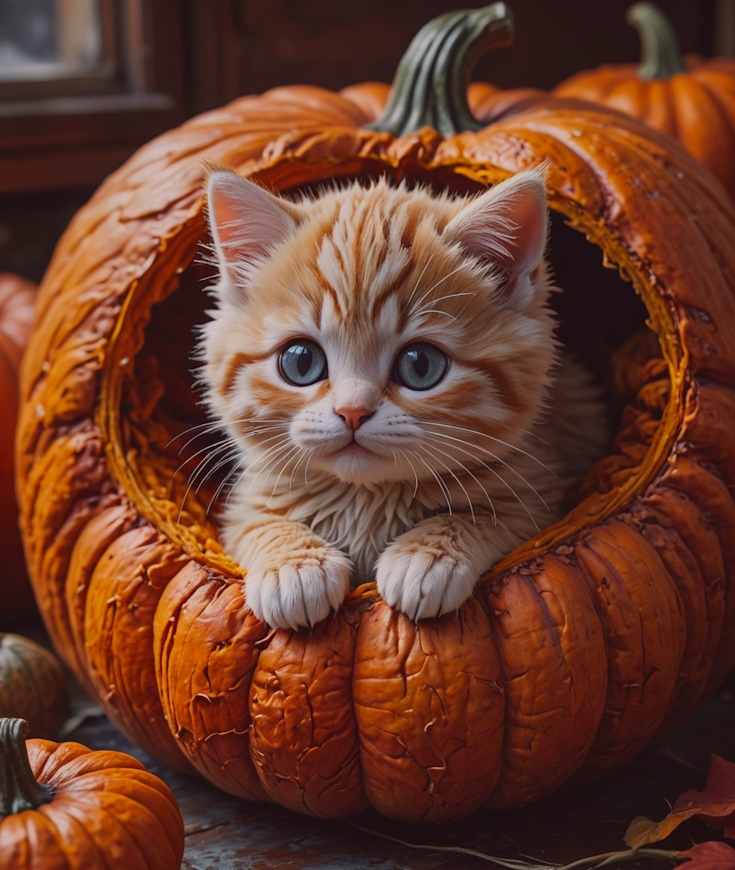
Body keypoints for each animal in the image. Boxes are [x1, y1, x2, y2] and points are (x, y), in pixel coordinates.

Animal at [198, 170, 608, 632]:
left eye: (420, 364)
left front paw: (425, 557)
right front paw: (294, 566)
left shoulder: (540, 490)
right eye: (300, 361)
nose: (352, 412)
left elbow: (490, 514)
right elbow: (255, 521)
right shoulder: (246, 500)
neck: (365, 500)